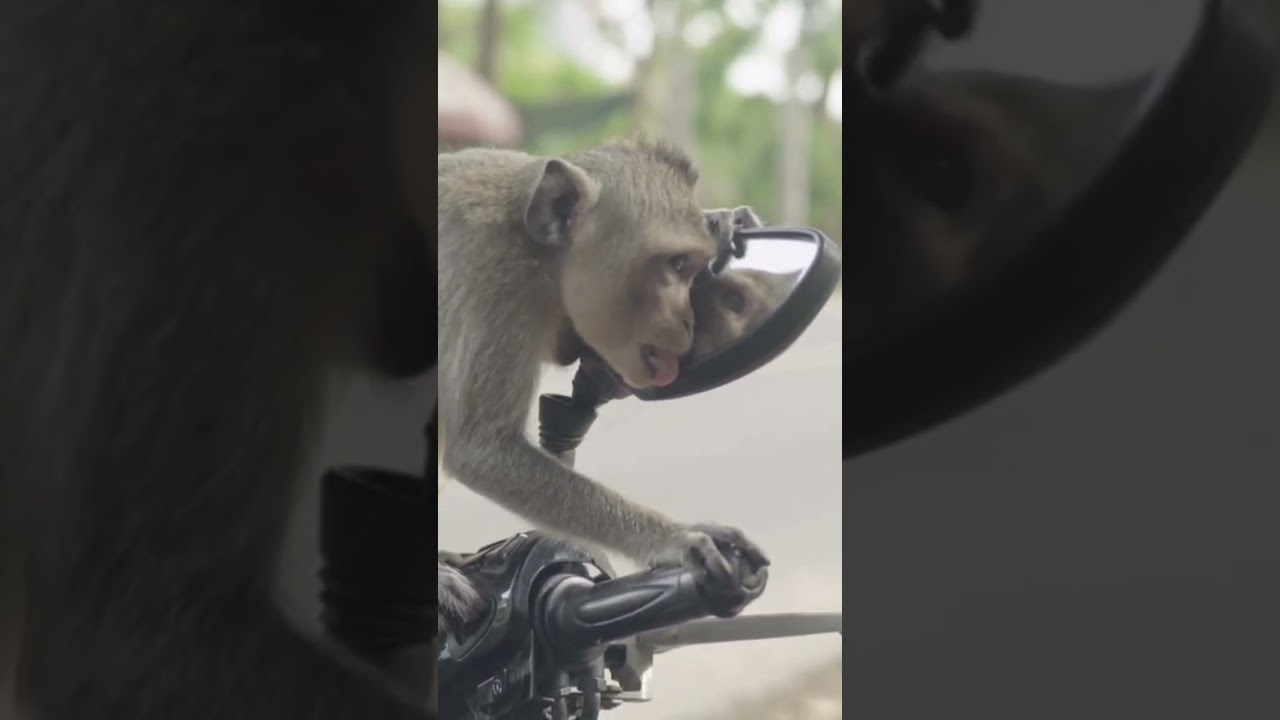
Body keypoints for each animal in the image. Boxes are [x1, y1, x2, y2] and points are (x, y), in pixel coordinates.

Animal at [436, 138, 771, 632]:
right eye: (676, 265)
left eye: (693, 270)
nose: (688, 321)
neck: (539, 251)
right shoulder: (496, 282)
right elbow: (484, 450)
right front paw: (675, 538)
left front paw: (725, 219)